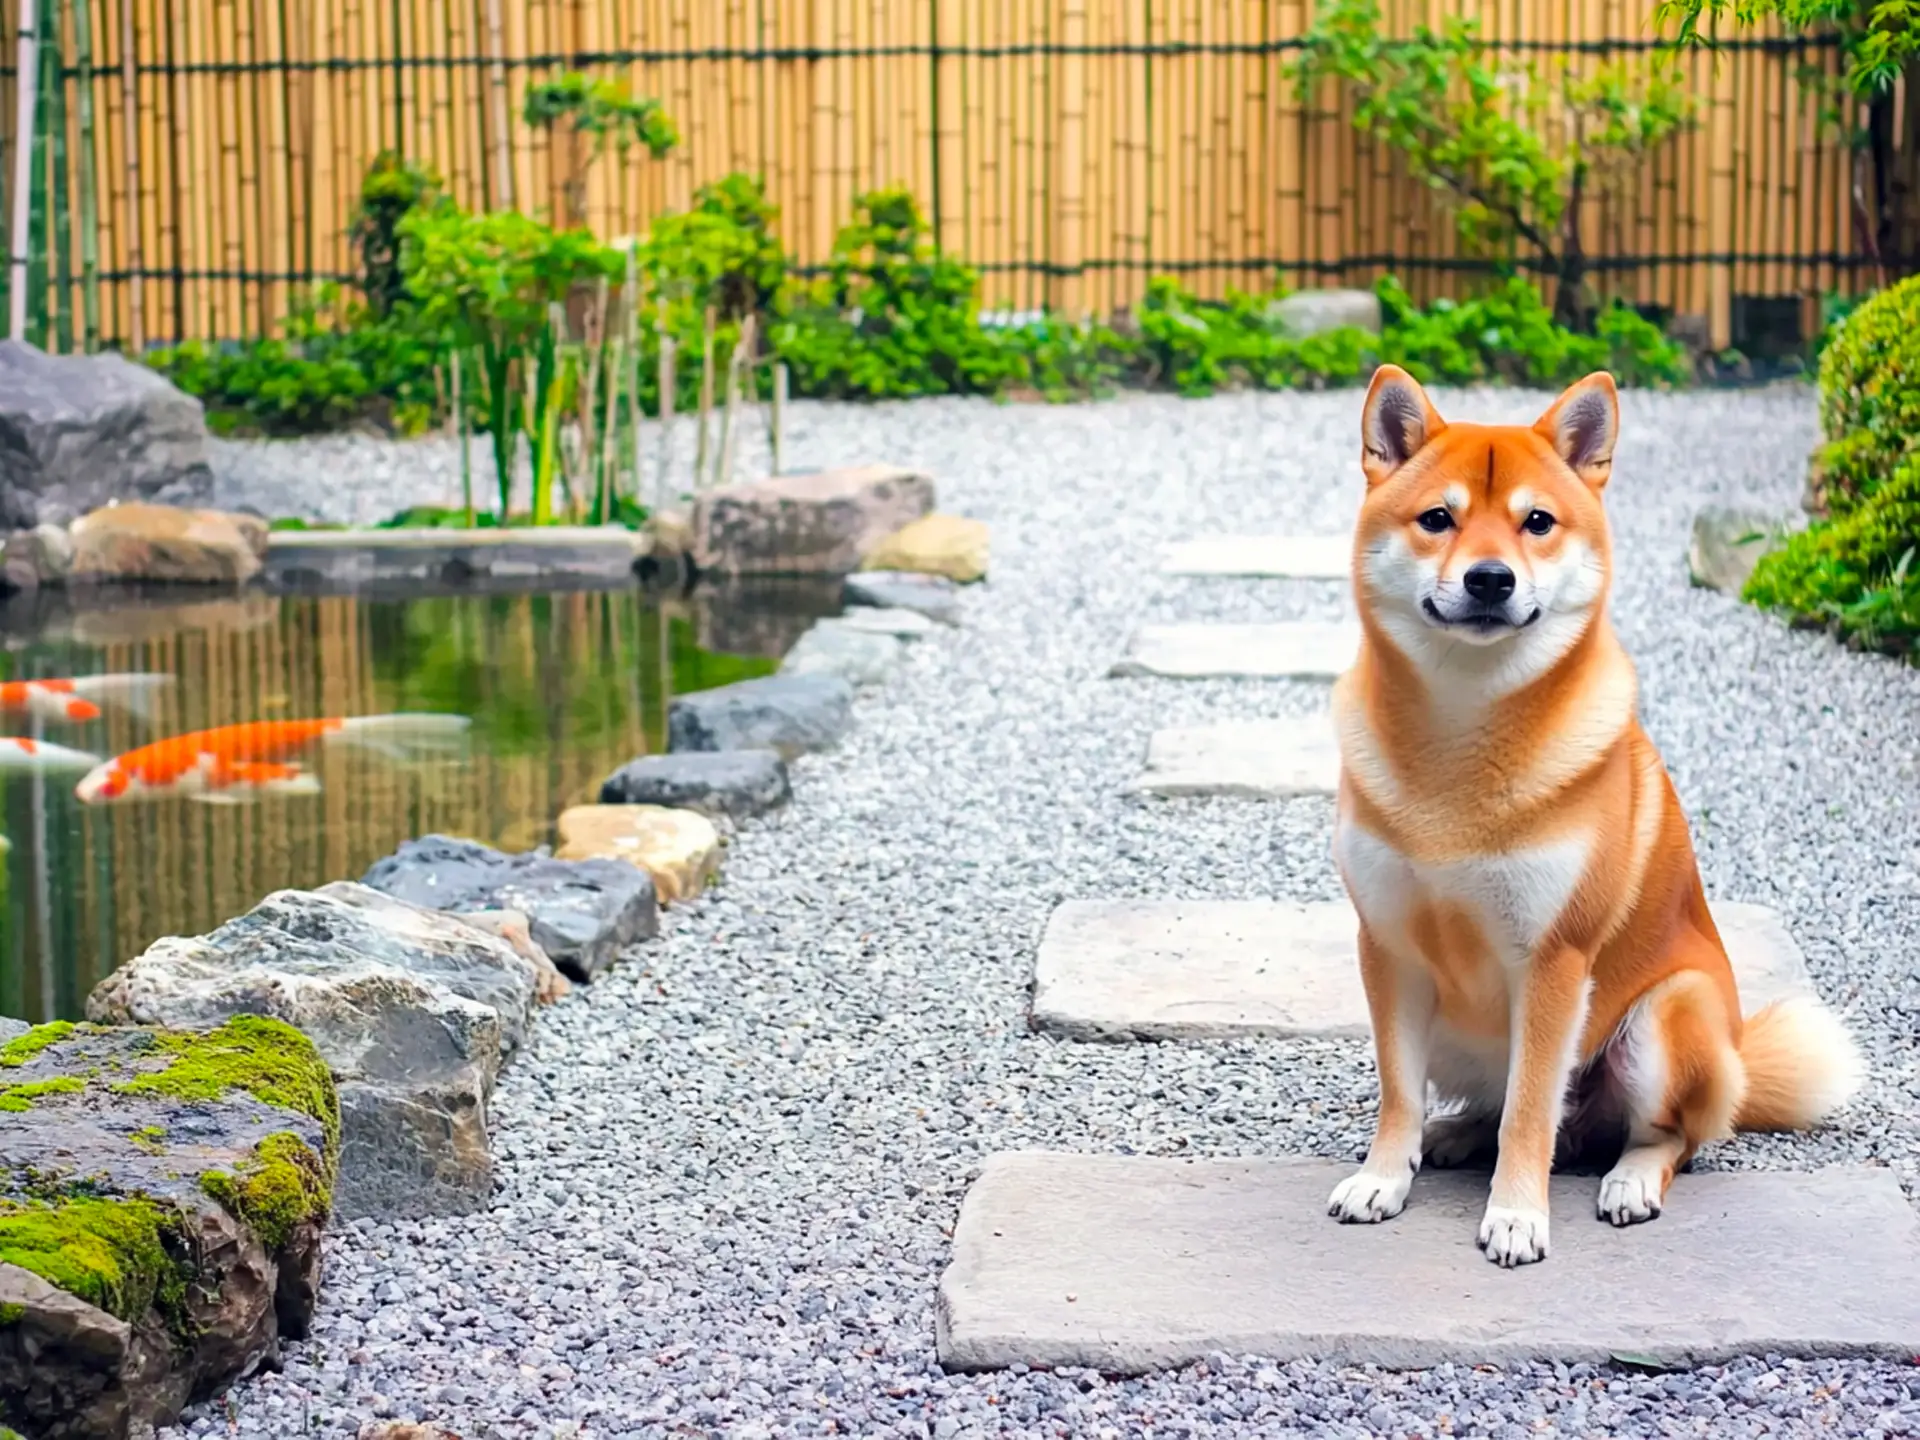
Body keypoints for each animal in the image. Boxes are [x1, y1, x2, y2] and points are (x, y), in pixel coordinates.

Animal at [1328, 366, 1850, 1267]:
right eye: (1438, 519)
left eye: (1537, 521)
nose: (1490, 578)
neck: (1459, 745)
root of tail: (1738, 1059)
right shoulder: (1387, 946)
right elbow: (1401, 1091)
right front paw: (1384, 1176)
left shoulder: (1554, 961)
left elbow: (1532, 1111)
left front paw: (1515, 1214)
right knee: (1512, 1112)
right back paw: (1453, 1136)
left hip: (1664, 1023)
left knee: (1658, 1136)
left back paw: (1630, 1178)